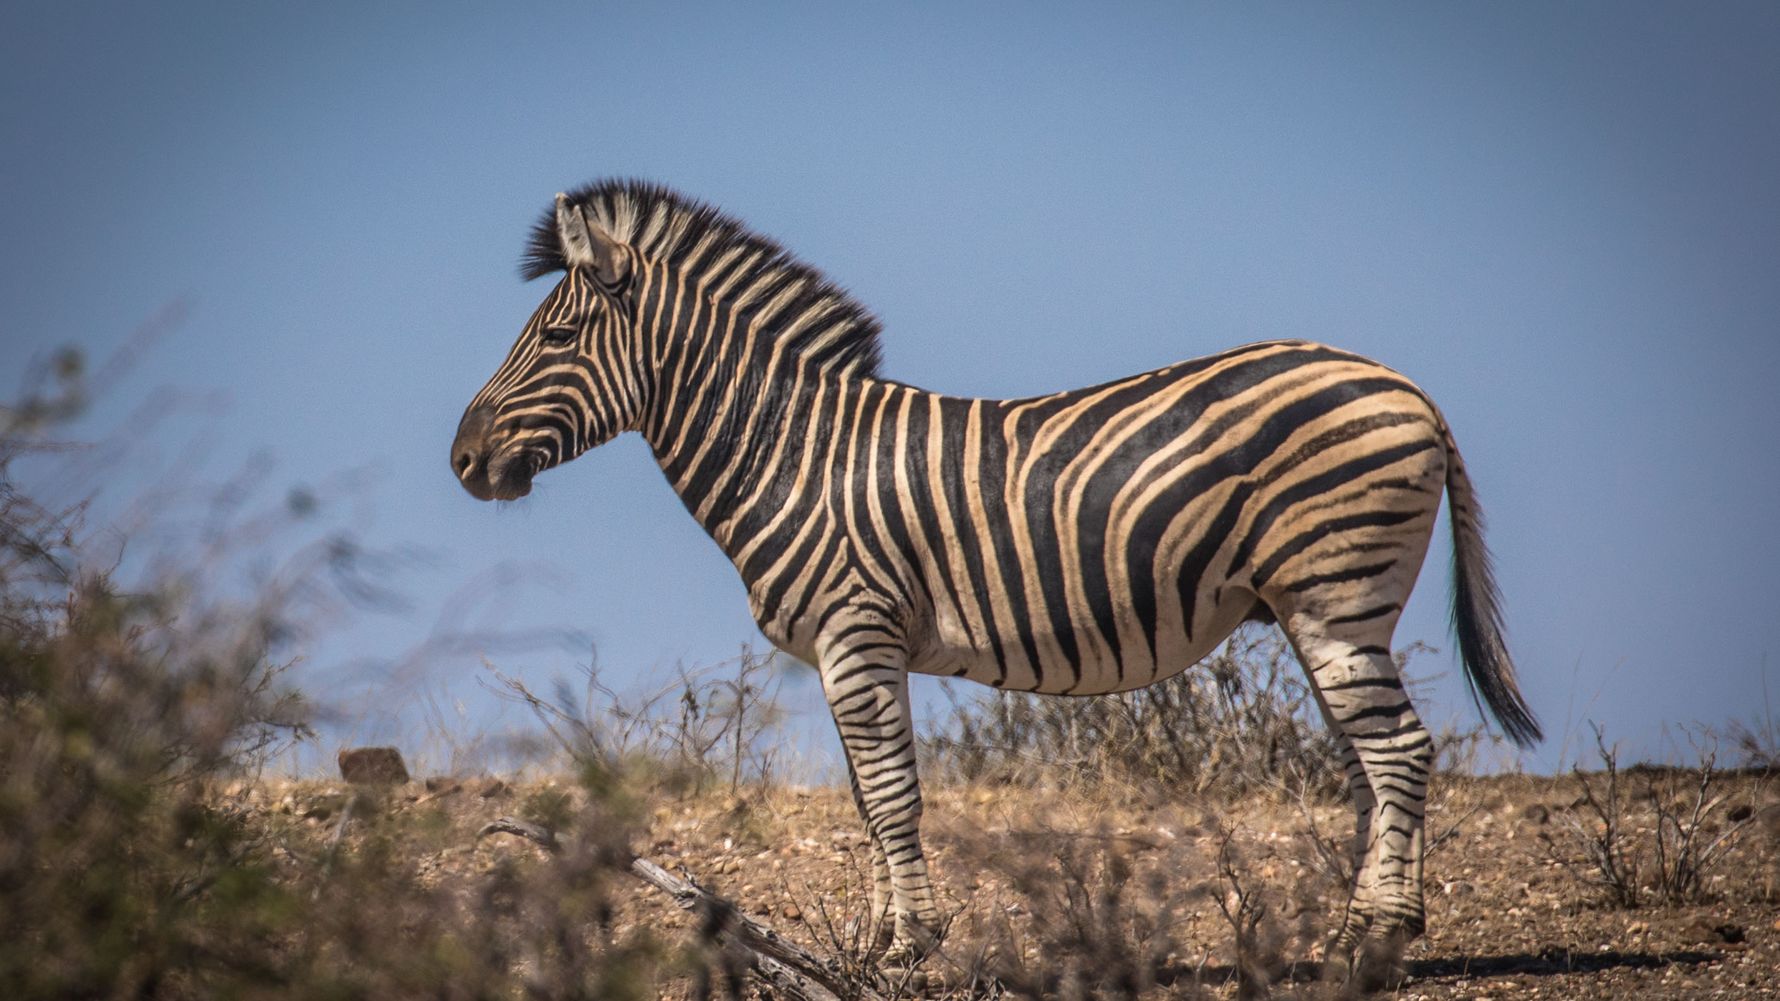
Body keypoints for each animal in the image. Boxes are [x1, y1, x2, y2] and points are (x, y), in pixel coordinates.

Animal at [450, 180, 1541, 969]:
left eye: (555, 337)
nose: (462, 461)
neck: (790, 451)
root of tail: (1406, 386)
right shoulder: (846, 654)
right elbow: (864, 799)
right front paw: (882, 939)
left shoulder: (858, 633)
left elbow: (892, 795)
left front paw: (910, 944)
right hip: (1325, 609)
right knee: (1374, 762)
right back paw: (1366, 926)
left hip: (1334, 594)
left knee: (1399, 752)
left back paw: (1376, 936)